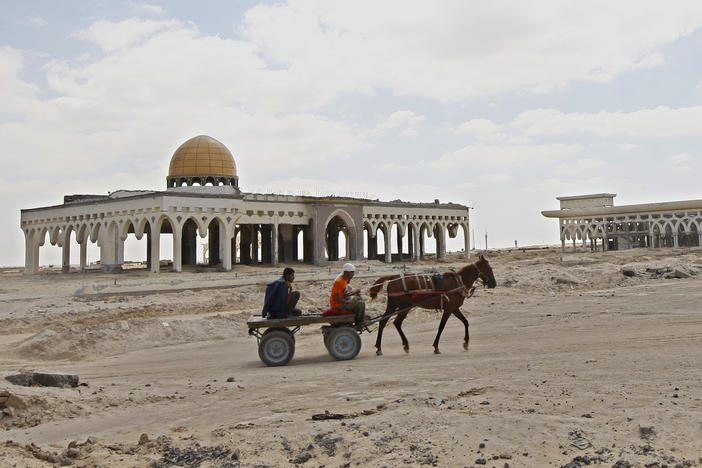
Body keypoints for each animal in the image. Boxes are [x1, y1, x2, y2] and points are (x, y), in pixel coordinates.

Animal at [366, 256, 498, 354]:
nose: (494, 283)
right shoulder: (449, 309)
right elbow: (441, 327)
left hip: (393, 305)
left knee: (384, 321)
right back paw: (403, 345)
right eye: (489, 268)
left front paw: (465, 342)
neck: (458, 281)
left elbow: (466, 322)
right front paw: (436, 347)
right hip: (404, 306)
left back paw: (380, 347)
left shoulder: (454, 308)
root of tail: (393, 276)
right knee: (396, 322)